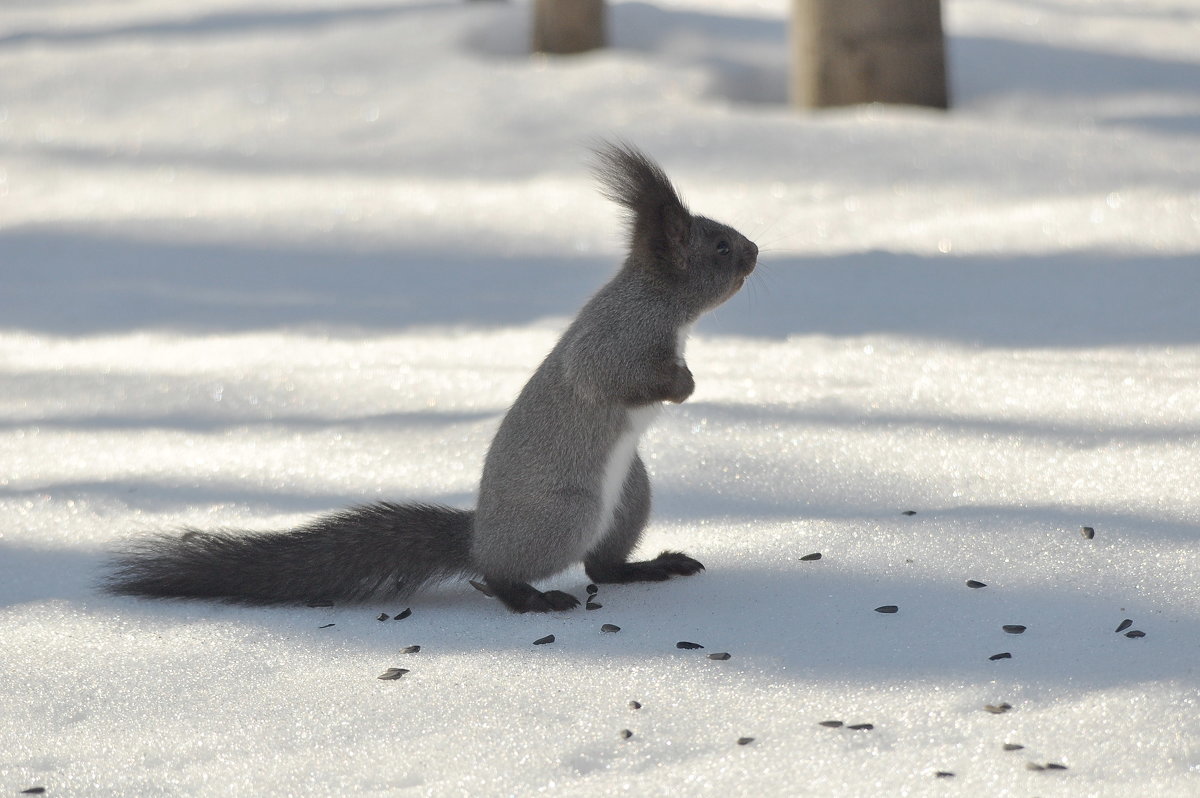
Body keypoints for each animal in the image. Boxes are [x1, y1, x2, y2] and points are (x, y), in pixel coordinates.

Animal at [103, 141, 758, 609]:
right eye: (720, 247)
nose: (755, 251)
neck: (660, 303)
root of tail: (479, 536)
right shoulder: (616, 340)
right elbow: (609, 378)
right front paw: (682, 385)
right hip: (563, 516)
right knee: (502, 575)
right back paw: (531, 599)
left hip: (630, 498)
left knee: (604, 565)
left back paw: (650, 567)